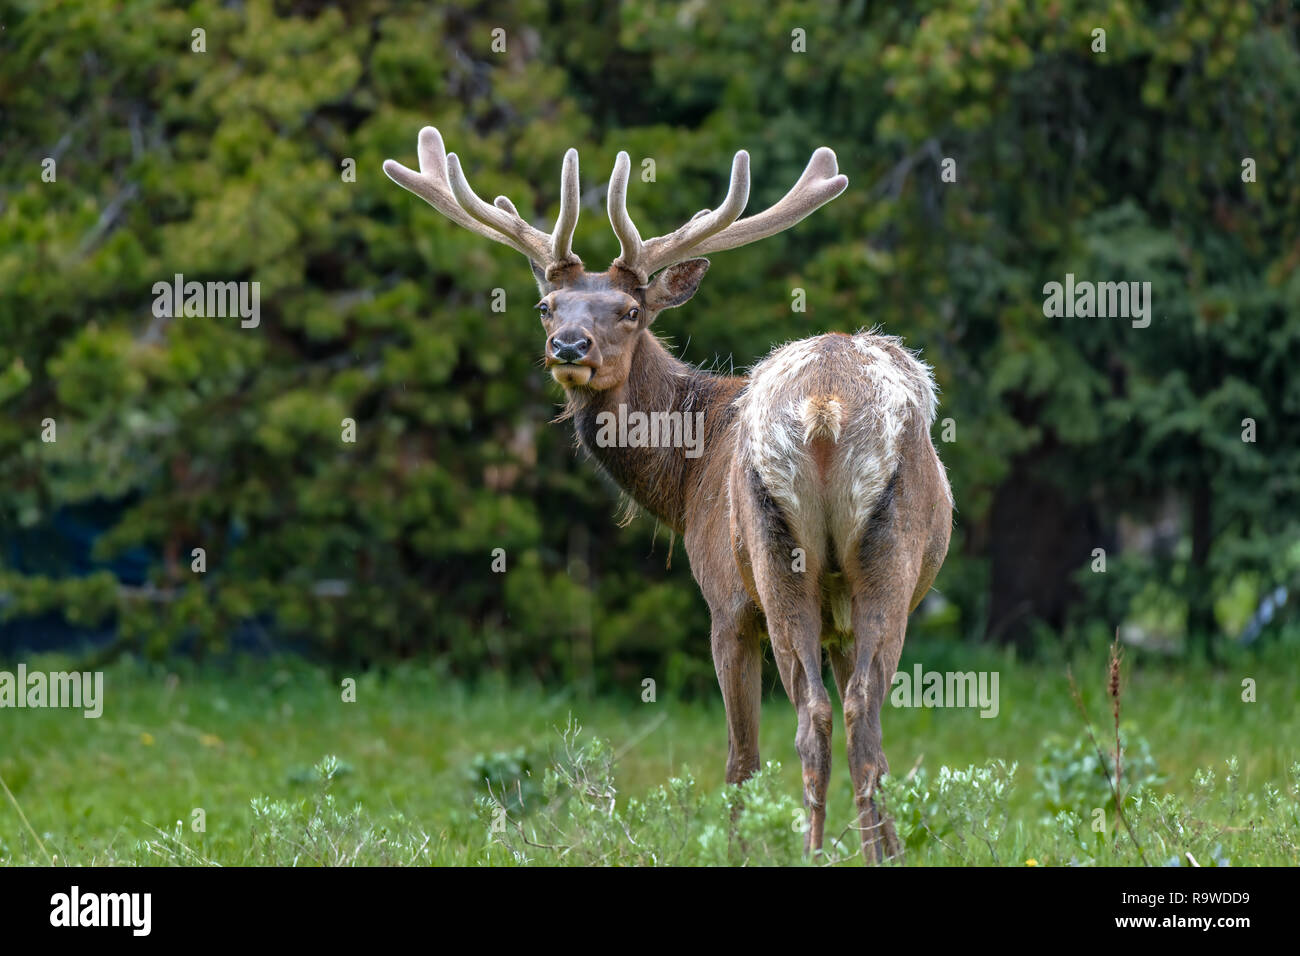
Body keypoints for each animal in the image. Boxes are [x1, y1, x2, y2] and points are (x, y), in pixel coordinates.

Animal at [379, 127, 951, 858]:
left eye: (630, 310)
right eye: (545, 306)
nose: (569, 347)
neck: (685, 479)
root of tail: (826, 408)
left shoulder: (725, 598)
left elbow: (741, 759)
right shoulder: (834, 617)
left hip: (775, 559)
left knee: (807, 723)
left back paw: (811, 852)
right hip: (867, 564)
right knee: (858, 719)